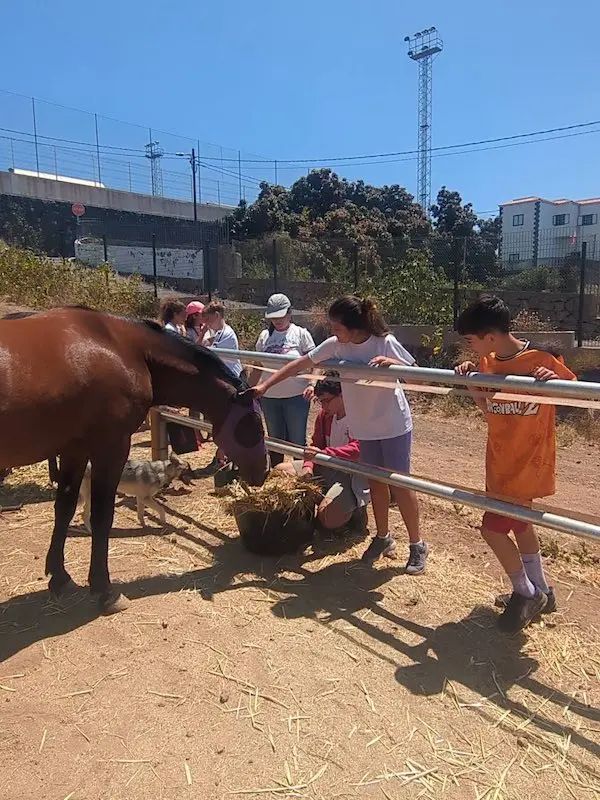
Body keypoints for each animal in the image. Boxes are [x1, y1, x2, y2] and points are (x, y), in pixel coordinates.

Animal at [0, 306, 268, 613]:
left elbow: (64, 508)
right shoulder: (111, 446)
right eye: (254, 423)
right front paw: (104, 589)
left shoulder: (74, 449)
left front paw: (60, 577)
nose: (263, 470)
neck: (125, 350)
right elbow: (102, 516)